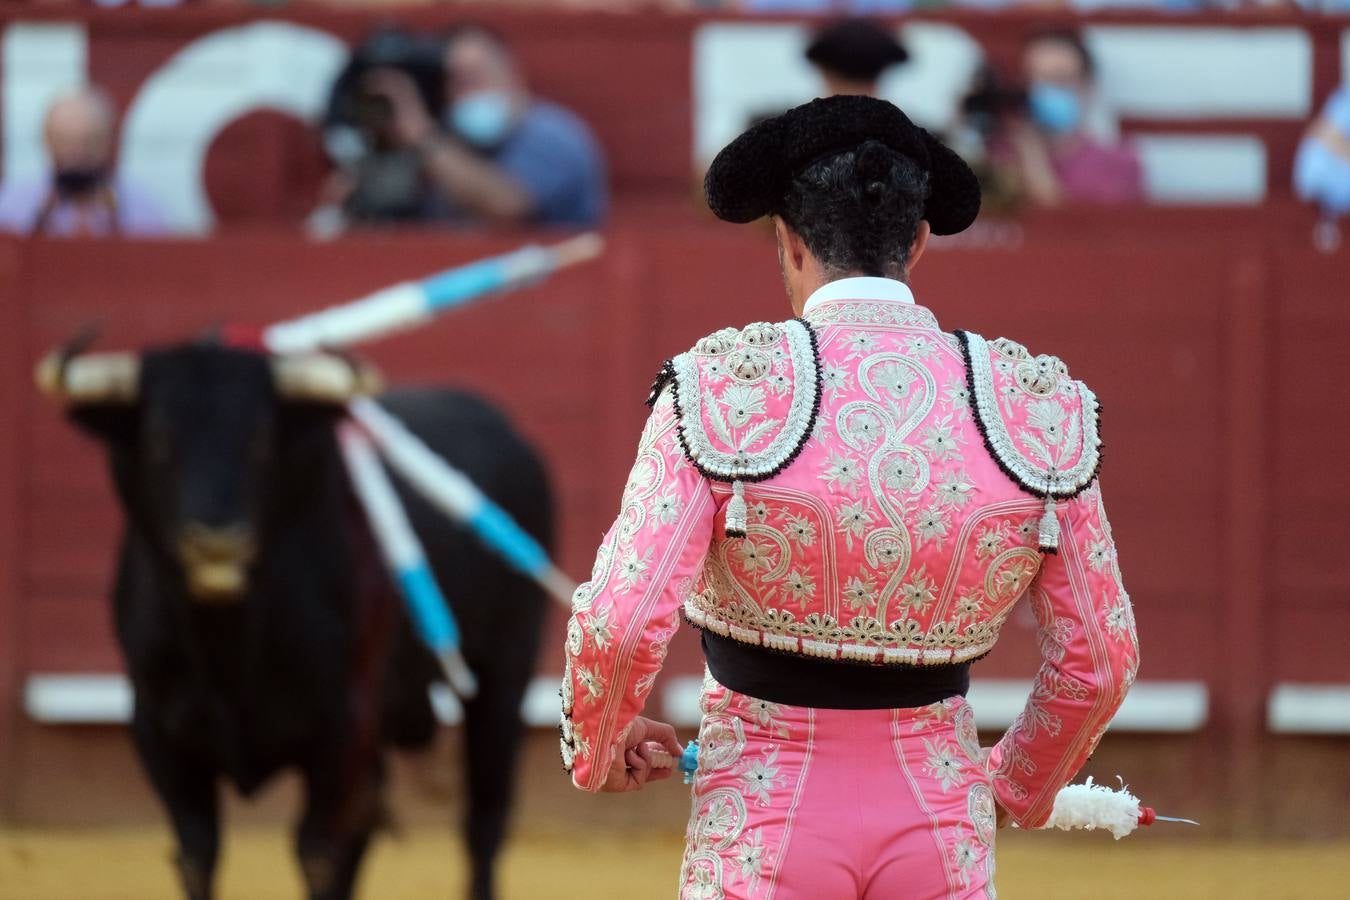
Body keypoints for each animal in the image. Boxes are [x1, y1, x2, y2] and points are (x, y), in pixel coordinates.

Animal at [38, 340, 553, 900]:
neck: (228, 640)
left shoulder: (342, 730)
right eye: (157, 437)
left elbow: (318, 854)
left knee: (484, 818)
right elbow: (198, 854)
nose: (217, 541)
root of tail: (505, 427)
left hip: (505, 672)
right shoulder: (158, 730)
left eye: (262, 439)